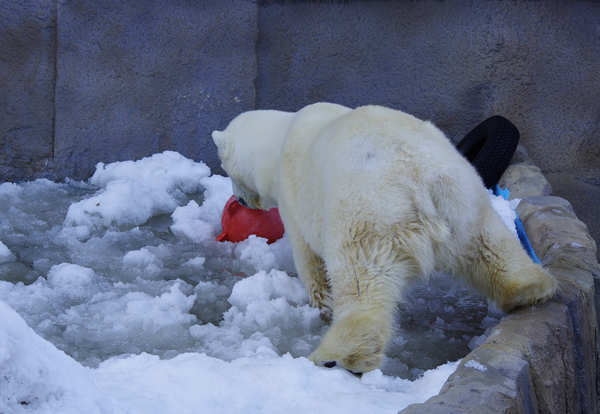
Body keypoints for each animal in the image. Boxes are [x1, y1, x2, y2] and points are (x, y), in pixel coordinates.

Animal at [212, 102, 556, 376]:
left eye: (225, 168)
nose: (239, 201)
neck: (280, 137)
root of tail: (420, 176)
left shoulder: (296, 198)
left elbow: (310, 261)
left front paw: (322, 306)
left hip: (368, 211)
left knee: (361, 278)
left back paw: (338, 355)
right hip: (464, 200)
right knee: (490, 245)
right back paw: (528, 290)